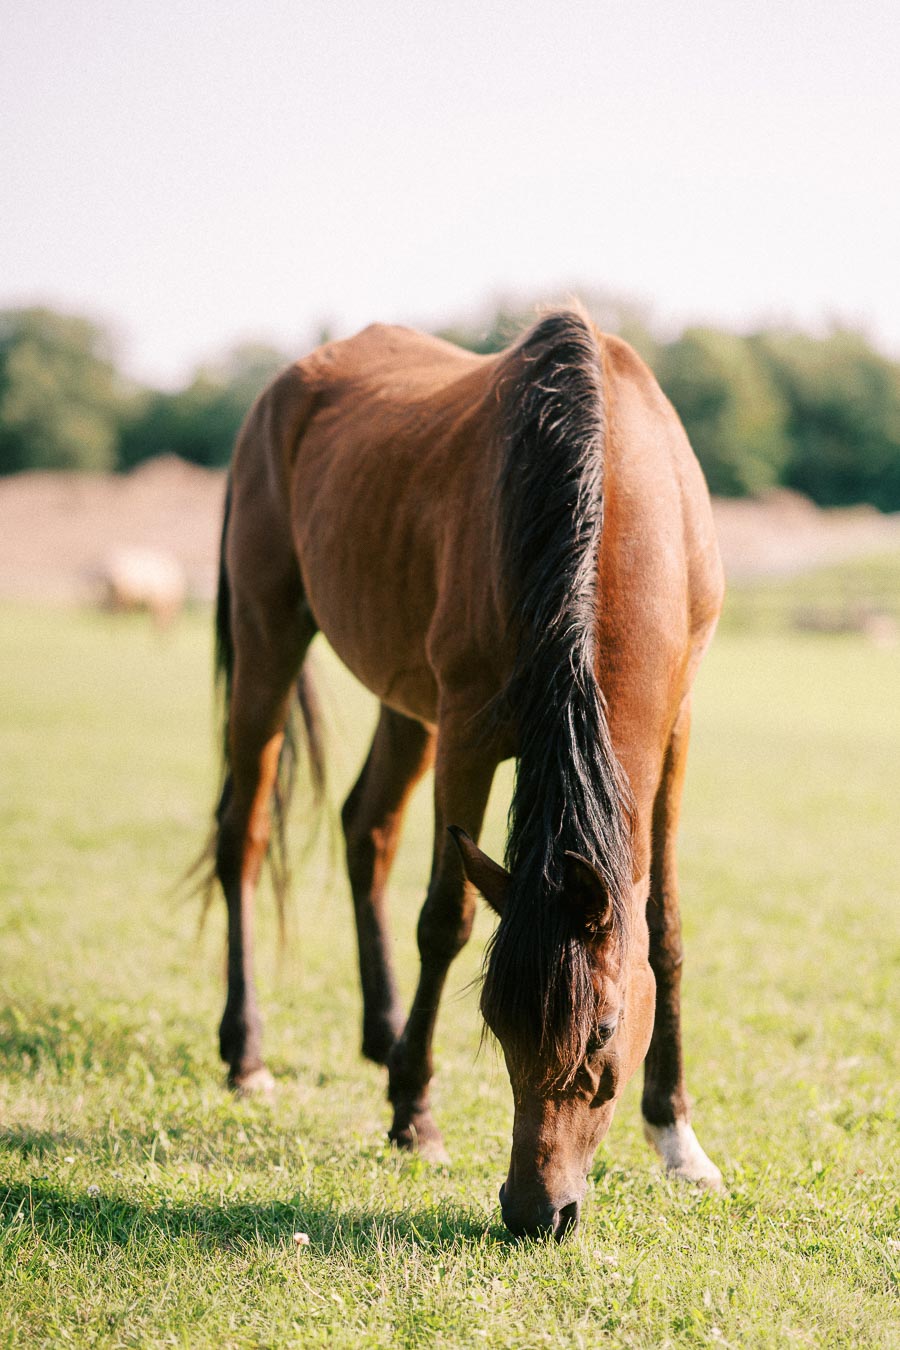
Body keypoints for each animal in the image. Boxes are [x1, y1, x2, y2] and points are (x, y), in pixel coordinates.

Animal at [206, 306, 725, 1240]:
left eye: (603, 1033)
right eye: (494, 1024)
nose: (536, 1212)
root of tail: (286, 385)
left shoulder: (676, 731)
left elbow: (662, 928)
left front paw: (676, 1135)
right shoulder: (470, 735)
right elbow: (443, 923)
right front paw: (415, 1115)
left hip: (403, 700)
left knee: (365, 828)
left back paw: (383, 1036)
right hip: (270, 640)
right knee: (245, 839)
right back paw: (249, 1054)